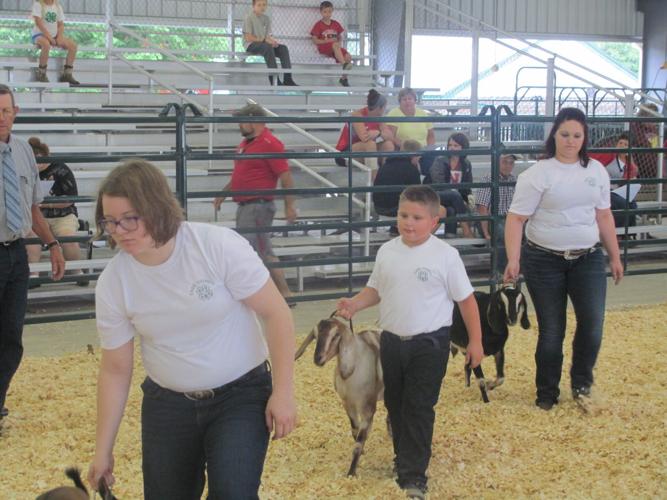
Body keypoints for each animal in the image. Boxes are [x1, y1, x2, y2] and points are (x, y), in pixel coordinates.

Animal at [298, 316, 386, 476]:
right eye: (316, 336)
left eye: (335, 336)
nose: (318, 359)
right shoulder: (348, 404)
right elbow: (355, 431)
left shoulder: (368, 407)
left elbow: (359, 440)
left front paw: (351, 473)